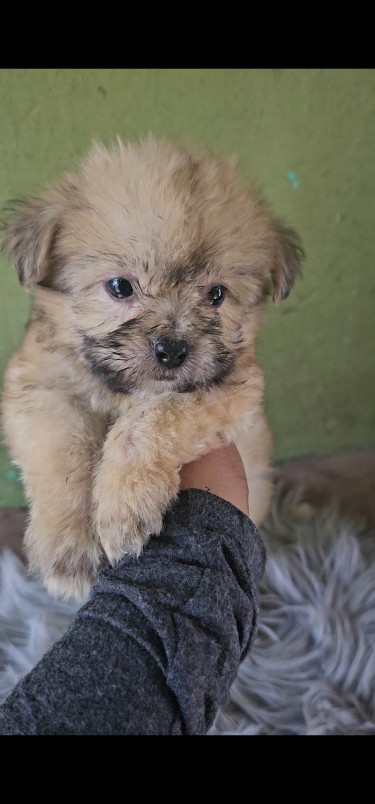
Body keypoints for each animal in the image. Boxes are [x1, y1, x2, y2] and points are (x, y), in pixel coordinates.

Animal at [0, 137, 304, 596]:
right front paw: (69, 548)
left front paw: (124, 504)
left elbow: (147, 423)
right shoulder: (41, 388)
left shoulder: (230, 387)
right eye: (120, 287)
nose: (173, 350)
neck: (118, 390)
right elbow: (64, 453)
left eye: (217, 294)